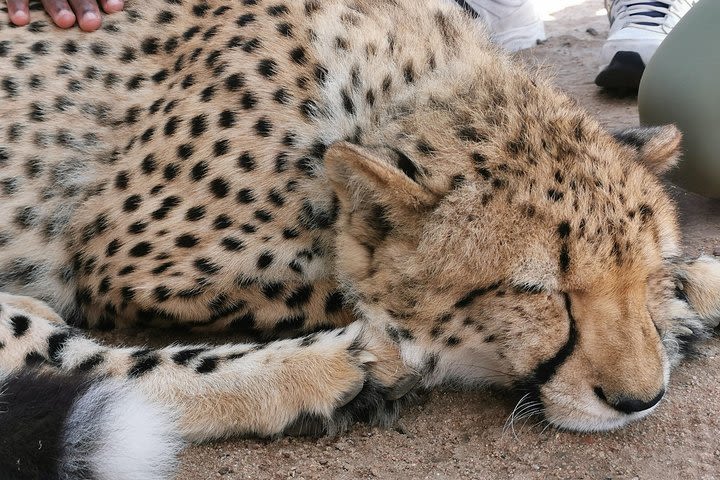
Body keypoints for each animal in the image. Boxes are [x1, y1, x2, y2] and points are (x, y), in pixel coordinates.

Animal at [1, 0, 720, 480]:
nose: (639, 401)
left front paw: (688, 289)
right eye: (538, 292)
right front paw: (686, 311)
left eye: (643, 274)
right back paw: (335, 371)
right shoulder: (126, 262)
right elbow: (351, 289)